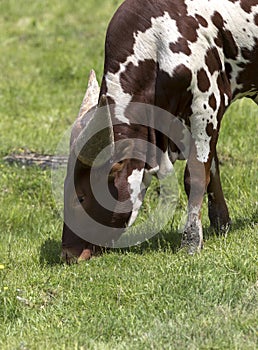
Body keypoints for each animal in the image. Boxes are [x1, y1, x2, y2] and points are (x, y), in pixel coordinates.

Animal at [61, 0, 258, 262]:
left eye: (81, 197)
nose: (67, 253)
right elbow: (213, 169)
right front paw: (221, 224)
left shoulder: (205, 106)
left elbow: (196, 176)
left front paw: (191, 241)